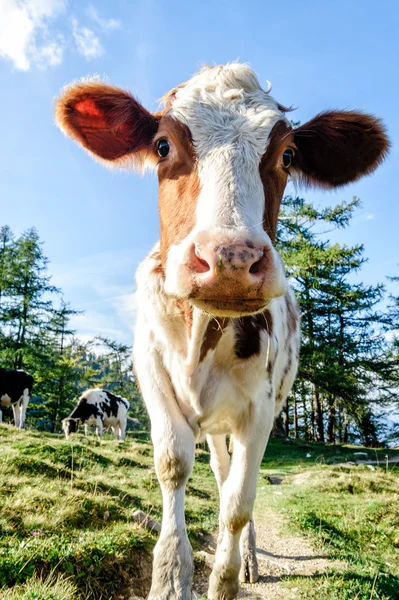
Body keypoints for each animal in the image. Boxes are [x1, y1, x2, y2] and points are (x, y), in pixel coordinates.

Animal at [54, 64, 390, 600]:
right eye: (163, 146)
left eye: (287, 155)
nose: (231, 259)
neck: (202, 338)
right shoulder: (152, 375)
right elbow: (174, 466)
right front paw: (171, 577)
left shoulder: (261, 408)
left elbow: (238, 504)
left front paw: (227, 577)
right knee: (219, 468)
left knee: (237, 484)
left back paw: (249, 558)